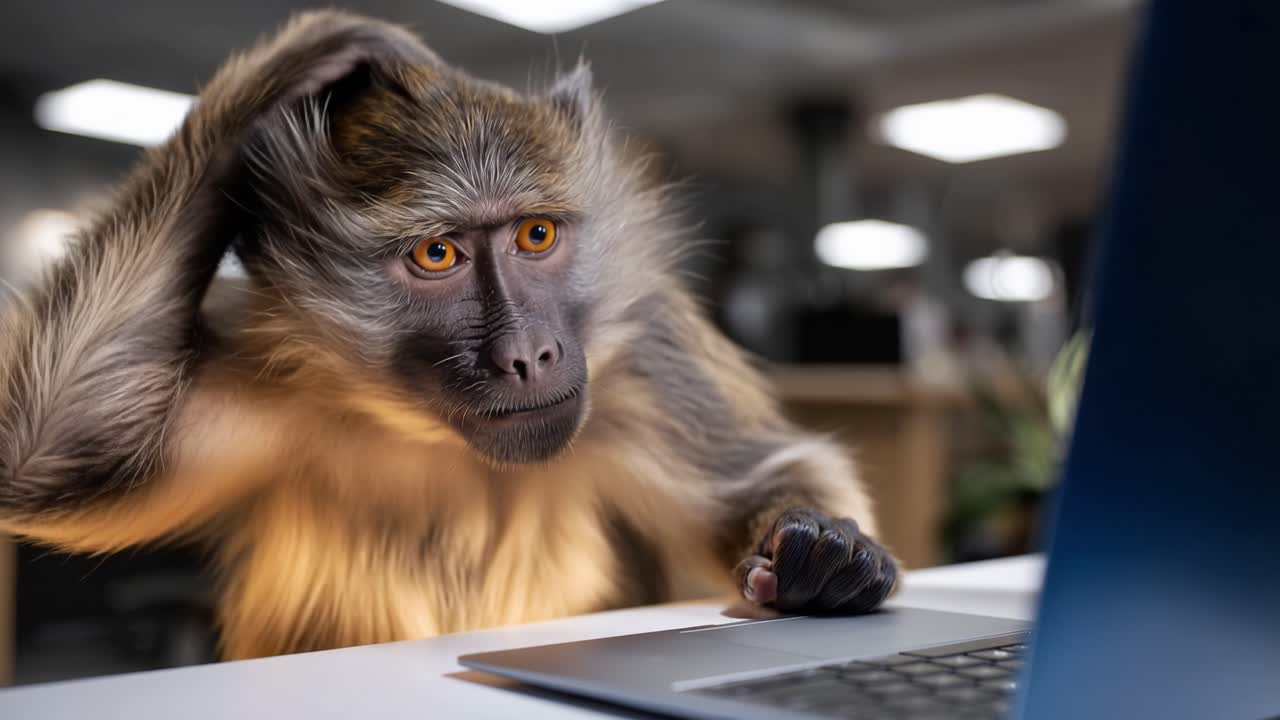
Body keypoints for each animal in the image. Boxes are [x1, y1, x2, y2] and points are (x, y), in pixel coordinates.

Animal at [0, 11, 898, 660]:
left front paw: (825, 555)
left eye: (537, 235)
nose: (527, 355)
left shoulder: (643, 355)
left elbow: (756, 479)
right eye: (438, 254)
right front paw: (323, 49)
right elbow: (58, 455)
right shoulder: (274, 373)